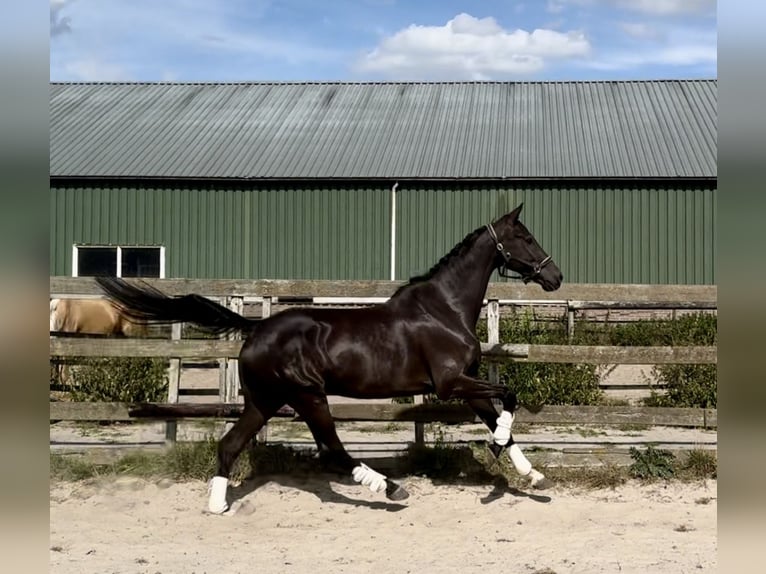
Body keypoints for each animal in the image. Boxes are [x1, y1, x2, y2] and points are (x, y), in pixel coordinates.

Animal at [95, 203, 563, 514]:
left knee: (230, 444)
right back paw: (389, 489)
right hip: (307, 396)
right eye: (525, 237)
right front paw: (496, 446)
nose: (554, 276)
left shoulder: (465, 382)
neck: (444, 309)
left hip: (264, 400)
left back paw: (218, 506)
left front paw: (530, 472)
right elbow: (510, 395)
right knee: (331, 450)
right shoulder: (450, 384)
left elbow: (500, 413)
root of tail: (256, 329)